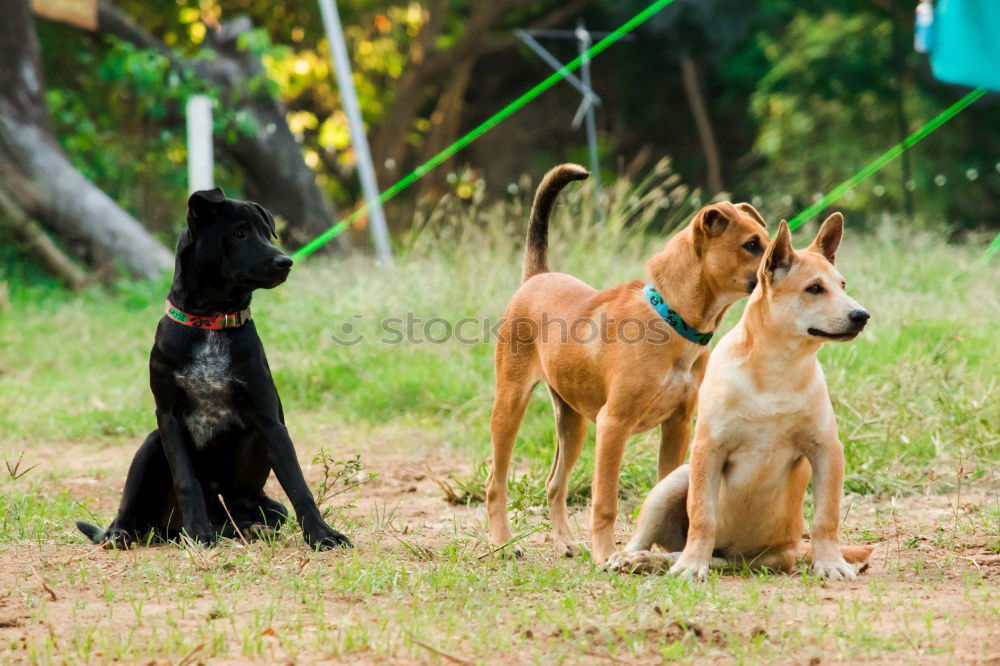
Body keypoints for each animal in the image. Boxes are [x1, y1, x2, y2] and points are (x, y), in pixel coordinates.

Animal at [74, 188, 350, 548]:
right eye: (240, 233)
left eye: (267, 232)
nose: (285, 261)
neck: (211, 322)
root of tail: (163, 530)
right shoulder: (168, 415)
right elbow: (186, 479)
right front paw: (198, 532)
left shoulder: (269, 420)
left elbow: (297, 483)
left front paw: (321, 534)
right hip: (150, 445)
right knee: (128, 507)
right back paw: (122, 533)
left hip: (252, 500)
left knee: (255, 514)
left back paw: (248, 528)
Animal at [488, 163, 768, 564]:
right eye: (751, 245)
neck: (671, 319)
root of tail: (537, 276)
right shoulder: (614, 425)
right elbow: (605, 501)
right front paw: (606, 555)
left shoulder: (677, 425)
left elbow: (667, 488)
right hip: (510, 406)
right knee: (495, 483)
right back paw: (502, 543)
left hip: (573, 424)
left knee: (554, 485)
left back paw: (566, 542)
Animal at [604, 215, 872, 580]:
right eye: (814, 288)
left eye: (842, 285)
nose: (861, 316)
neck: (777, 367)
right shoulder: (709, 448)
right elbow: (703, 514)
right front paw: (692, 566)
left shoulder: (826, 449)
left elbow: (825, 517)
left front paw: (830, 562)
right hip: (676, 480)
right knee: (658, 538)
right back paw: (634, 558)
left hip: (762, 558)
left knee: (706, 558)